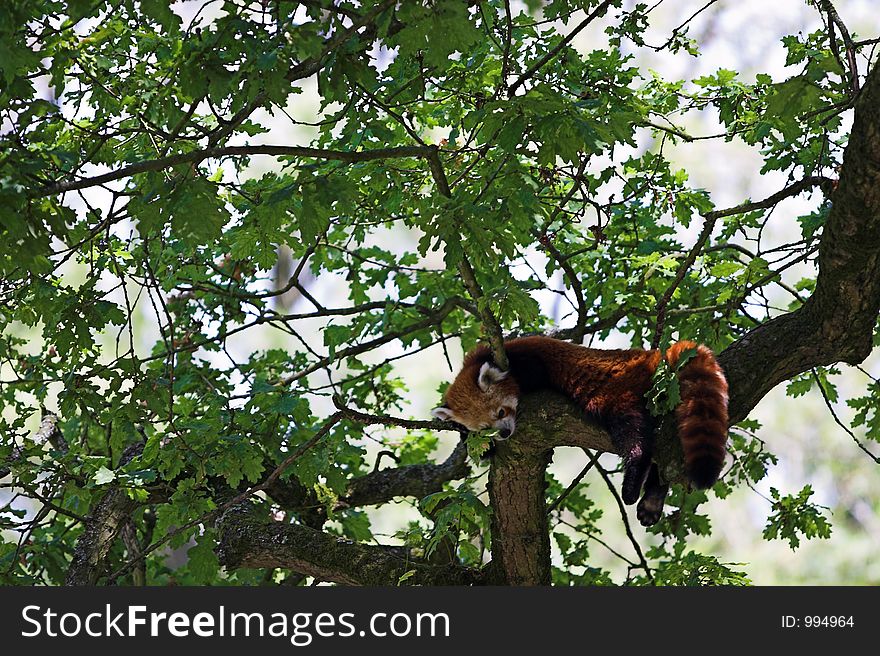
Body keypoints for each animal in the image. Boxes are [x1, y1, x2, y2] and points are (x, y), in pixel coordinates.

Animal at [434, 336, 728, 524]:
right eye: (485, 428)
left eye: (501, 413)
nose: (505, 433)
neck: (481, 360)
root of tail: (648, 355)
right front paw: (476, 443)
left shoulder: (526, 361)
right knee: (664, 456)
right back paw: (653, 499)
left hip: (619, 393)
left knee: (636, 435)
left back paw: (633, 482)